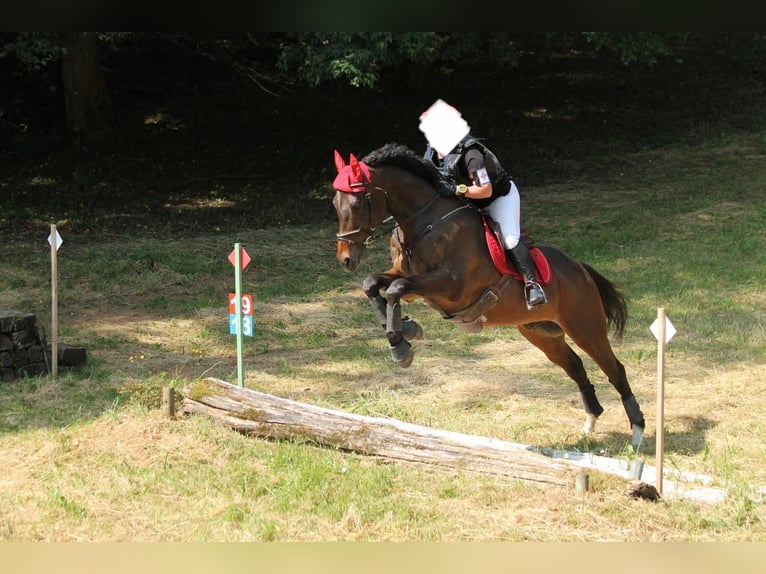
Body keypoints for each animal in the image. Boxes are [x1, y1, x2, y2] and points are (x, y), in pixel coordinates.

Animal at [332, 144, 644, 450]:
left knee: (616, 370)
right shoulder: (404, 275)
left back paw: (638, 432)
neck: (425, 222)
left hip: (586, 329)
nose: (346, 259)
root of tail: (580, 269)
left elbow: (396, 289)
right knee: (576, 366)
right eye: (335, 204)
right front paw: (404, 331)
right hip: (543, 335)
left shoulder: (451, 285)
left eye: (357, 204)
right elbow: (373, 284)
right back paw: (591, 421)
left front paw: (402, 345)